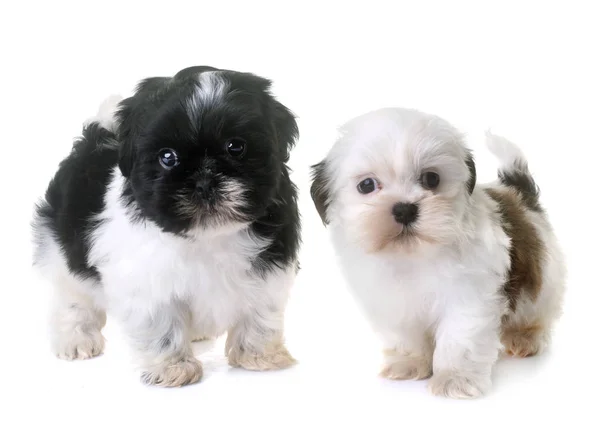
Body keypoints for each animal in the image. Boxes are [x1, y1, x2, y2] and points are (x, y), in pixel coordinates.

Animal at [32, 65, 300, 388]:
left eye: (236, 147)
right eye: (167, 157)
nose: (204, 181)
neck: (207, 236)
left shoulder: (269, 269)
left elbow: (261, 312)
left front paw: (259, 356)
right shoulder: (146, 283)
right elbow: (162, 325)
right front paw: (174, 368)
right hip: (60, 246)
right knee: (72, 296)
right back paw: (75, 338)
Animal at [312, 107, 564, 400]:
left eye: (431, 179)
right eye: (366, 185)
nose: (404, 209)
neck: (414, 253)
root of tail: (519, 195)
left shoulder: (469, 296)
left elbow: (460, 337)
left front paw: (455, 378)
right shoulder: (393, 302)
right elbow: (405, 334)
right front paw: (409, 363)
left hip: (545, 278)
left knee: (538, 309)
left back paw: (526, 337)